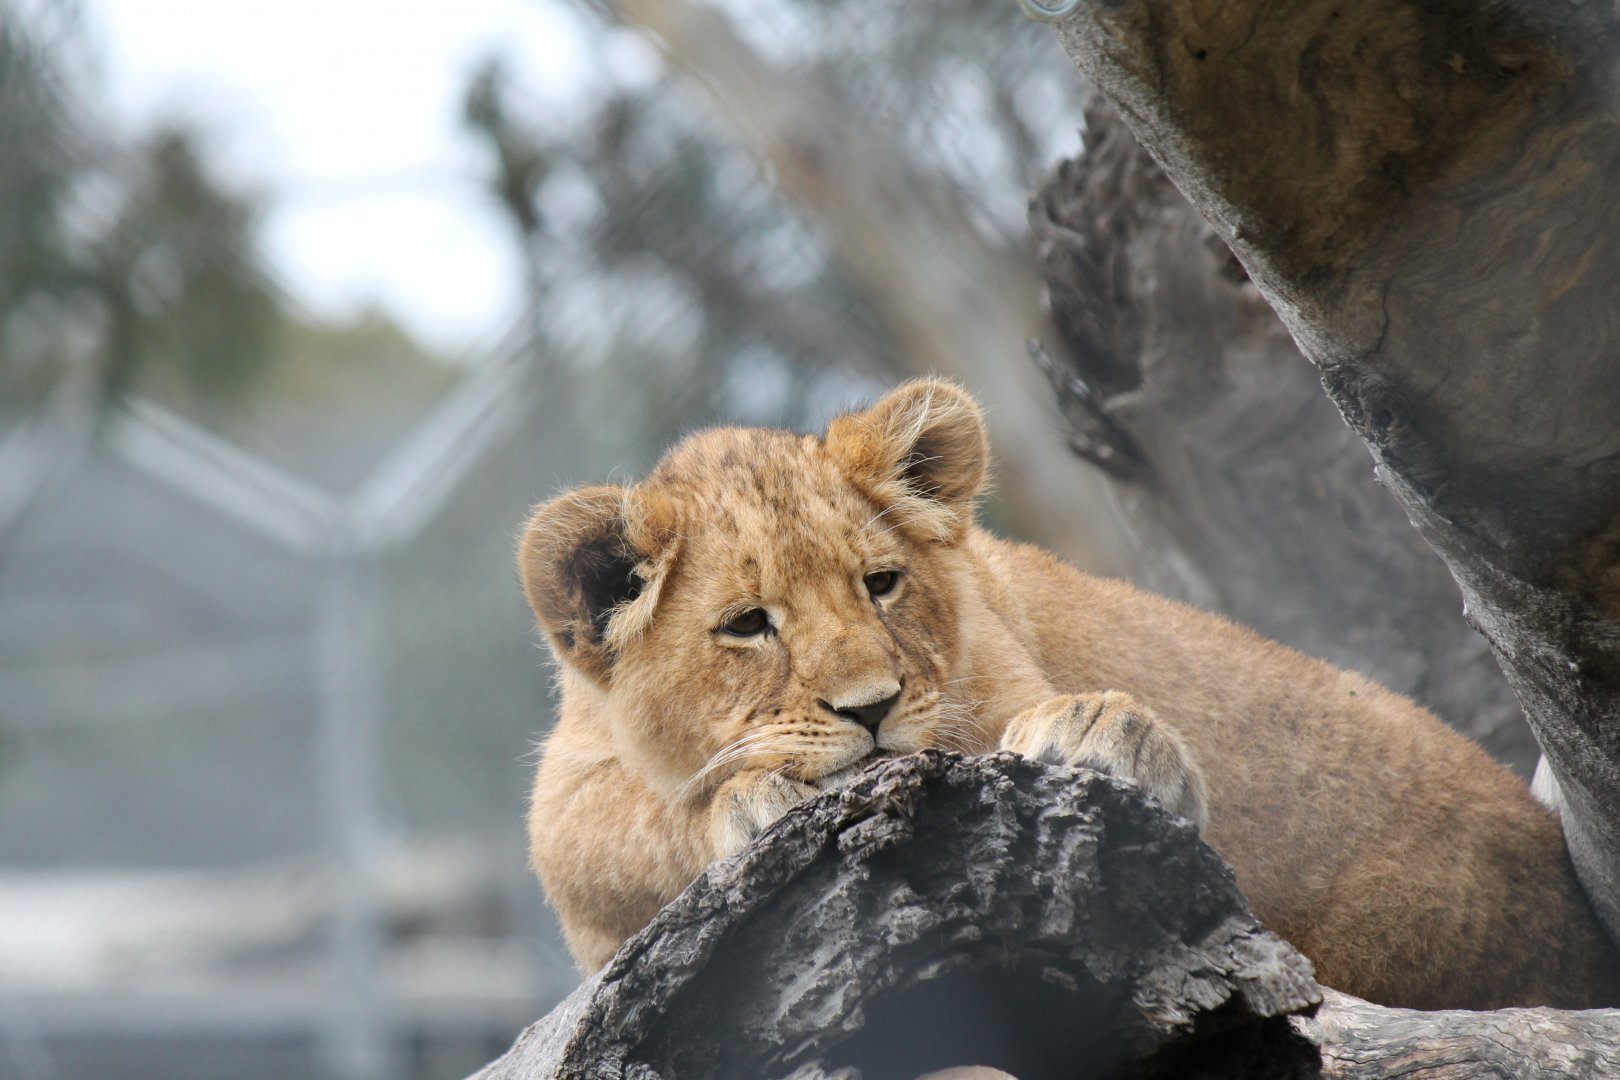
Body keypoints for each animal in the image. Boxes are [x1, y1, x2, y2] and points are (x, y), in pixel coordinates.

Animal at [518, 378, 1620, 1009]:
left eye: (881, 583)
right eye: (749, 624)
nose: (872, 707)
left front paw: (1108, 731)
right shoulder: (564, 814)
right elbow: (641, 822)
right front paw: (751, 795)